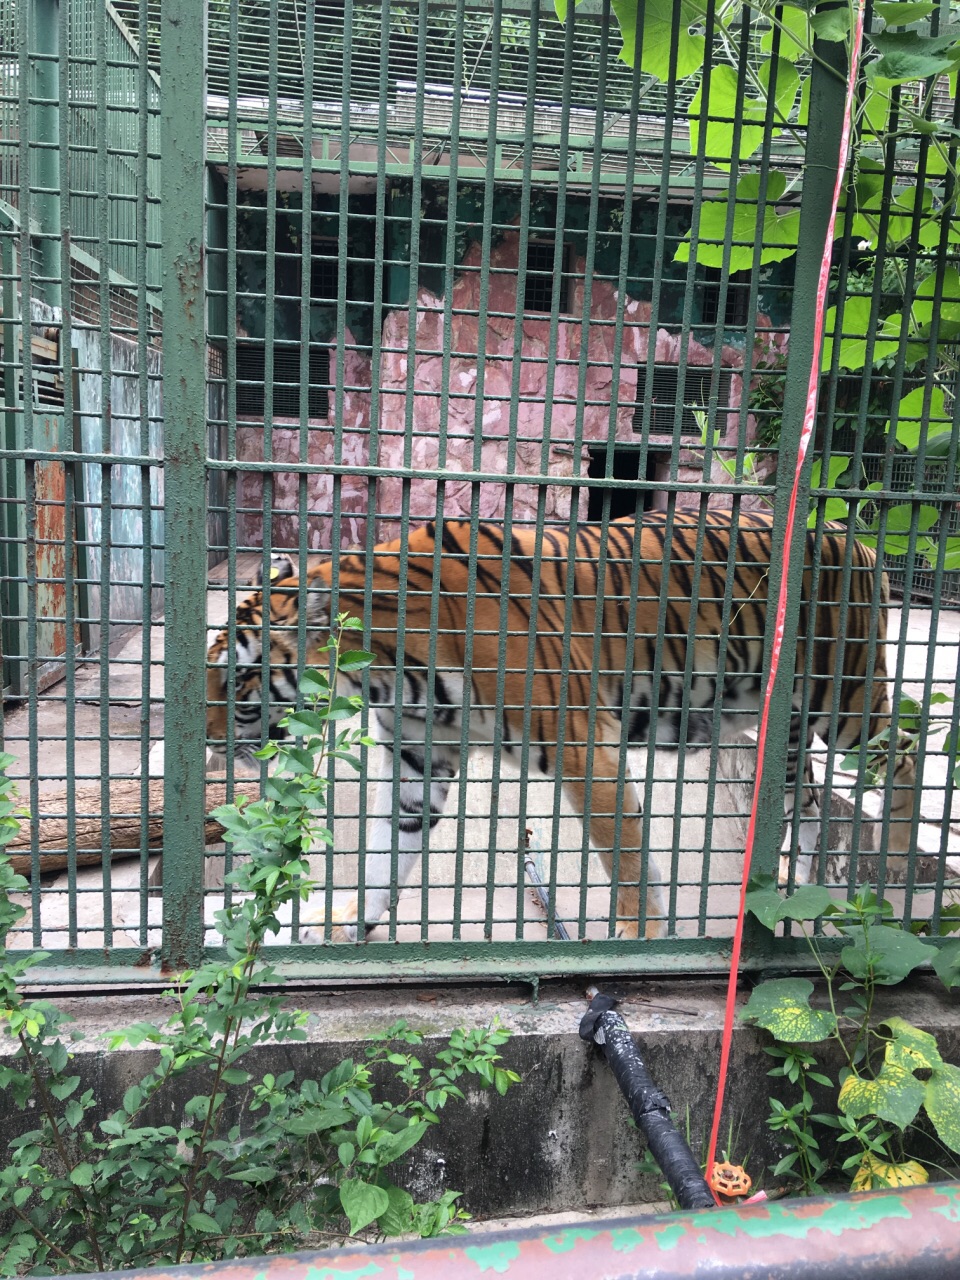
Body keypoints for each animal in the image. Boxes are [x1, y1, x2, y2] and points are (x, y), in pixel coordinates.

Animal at [204, 506, 916, 942]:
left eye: (238, 679)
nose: (210, 744)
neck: (383, 672)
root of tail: (855, 537)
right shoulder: (417, 759)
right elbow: (385, 851)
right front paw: (349, 919)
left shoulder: (581, 744)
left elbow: (623, 851)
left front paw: (637, 932)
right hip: (744, 714)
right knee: (805, 791)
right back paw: (797, 884)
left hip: (846, 696)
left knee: (903, 756)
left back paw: (897, 887)